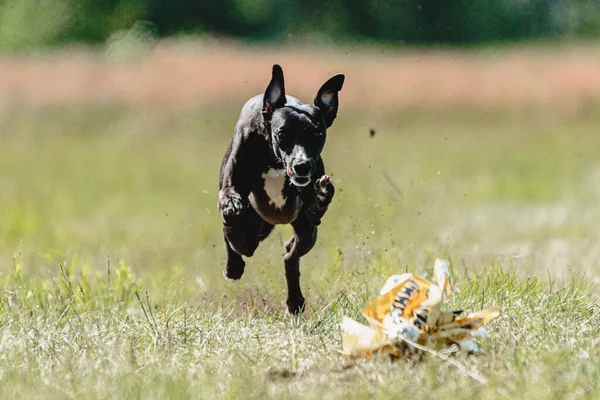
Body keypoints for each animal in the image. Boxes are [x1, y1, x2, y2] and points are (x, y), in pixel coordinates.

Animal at [218, 64, 344, 314]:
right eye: (282, 133)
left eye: (317, 133)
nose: (302, 165)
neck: (274, 159)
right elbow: (229, 205)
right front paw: (230, 204)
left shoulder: (311, 215)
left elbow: (316, 209)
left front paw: (322, 194)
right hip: (251, 234)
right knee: (236, 239)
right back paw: (233, 266)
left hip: (306, 232)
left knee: (290, 258)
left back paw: (294, 300)